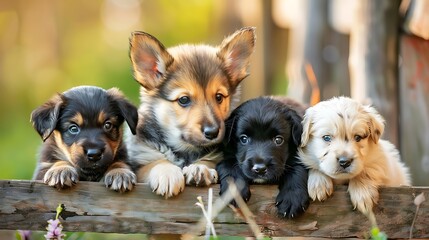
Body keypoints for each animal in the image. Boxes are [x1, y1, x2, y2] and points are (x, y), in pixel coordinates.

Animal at [125, 27, 256, 198]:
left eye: (219, 97)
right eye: (184, 99)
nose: (213, 132)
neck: (183, 150)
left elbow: (208, 161)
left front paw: (200, 168)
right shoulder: (142, 159)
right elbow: (156, 162)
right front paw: (168, 173)